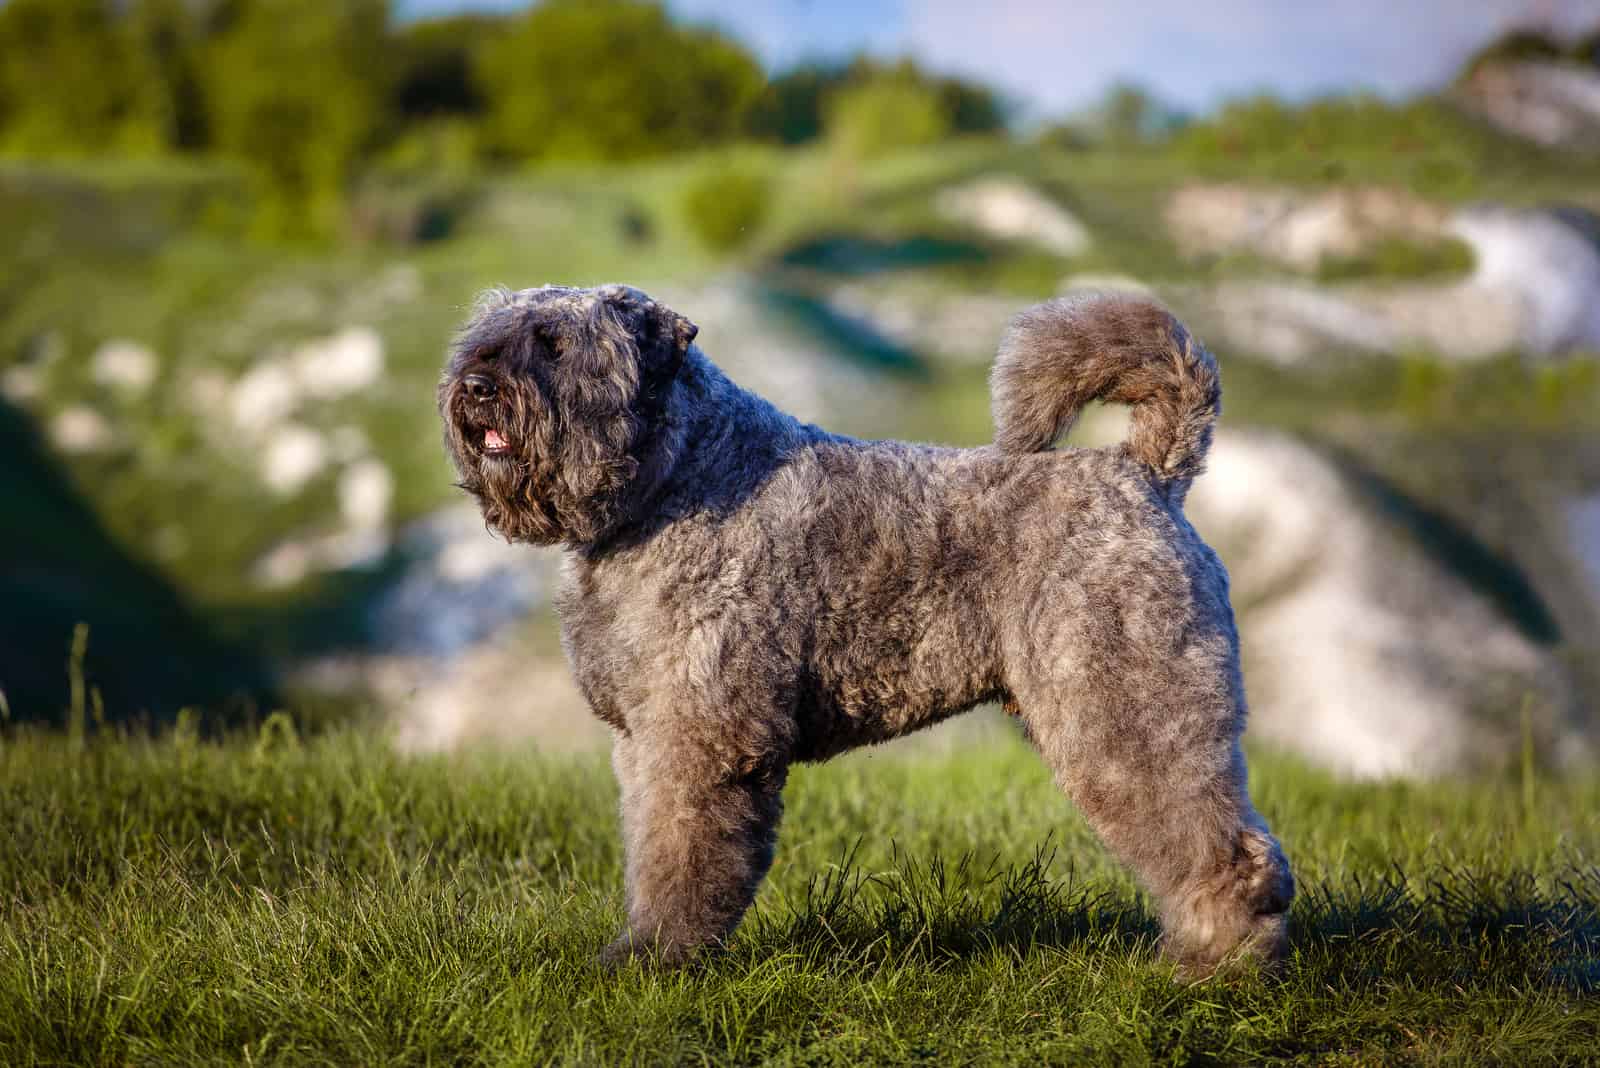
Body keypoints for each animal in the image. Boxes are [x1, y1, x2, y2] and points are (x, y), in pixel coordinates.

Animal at [441, 281, 1299, 978]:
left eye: (554, 343)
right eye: (485, 337)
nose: (475, 387)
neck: (676, 475)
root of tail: (1143, 472)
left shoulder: (701, 735)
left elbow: (682, 856)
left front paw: (657, 958)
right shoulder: (644, 737)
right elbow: (650, 842)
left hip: (1125, 711)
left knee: (1222, 845)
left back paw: (1212, 964)